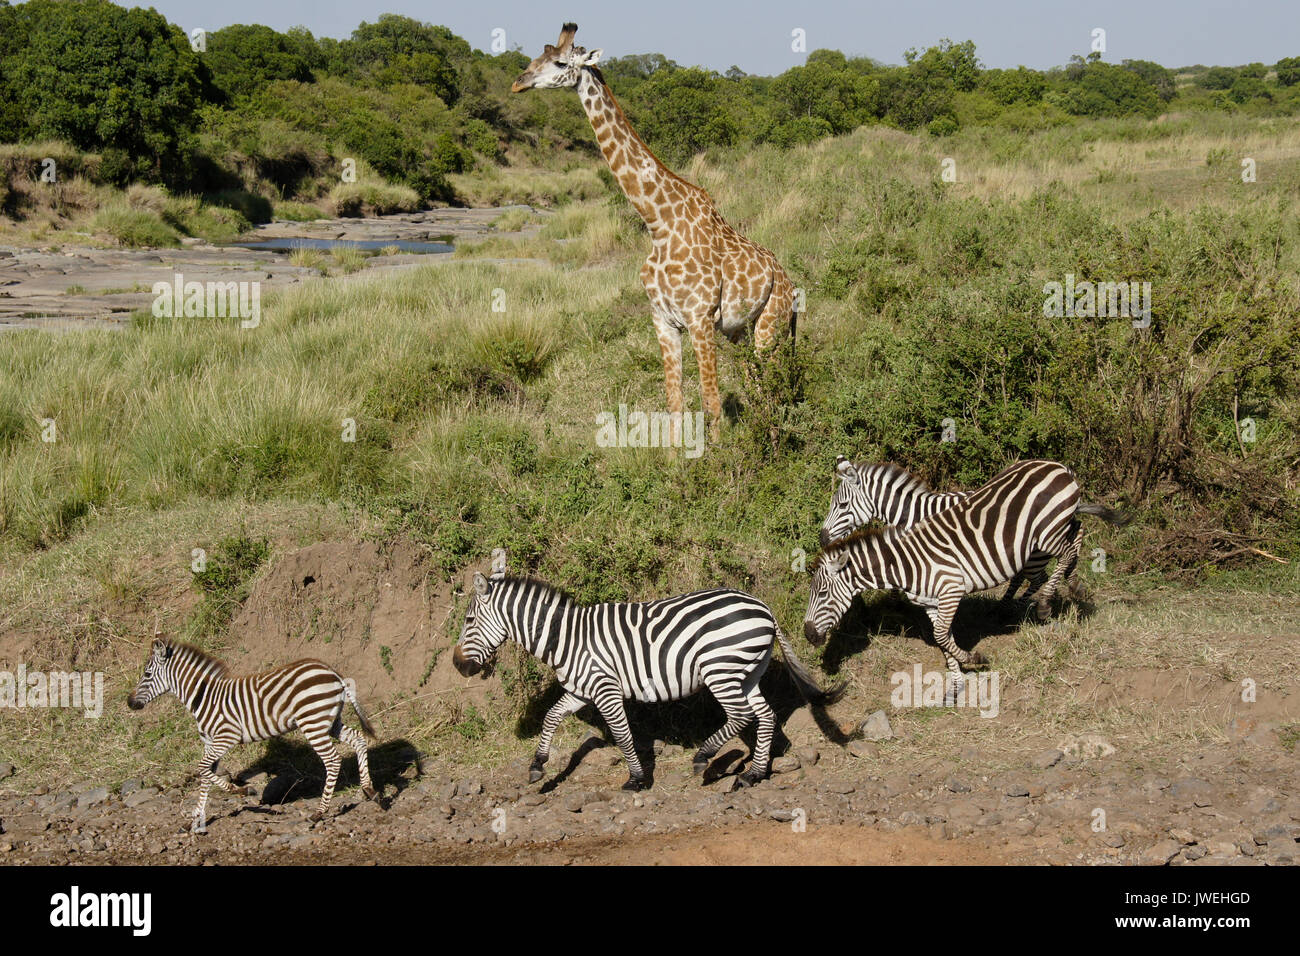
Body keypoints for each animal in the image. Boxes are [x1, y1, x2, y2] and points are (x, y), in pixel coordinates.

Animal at [127, 637, 378, 833]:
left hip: (313, 723)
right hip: (329, 721)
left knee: (333, 760)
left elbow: (202, 769)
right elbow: (206, 777)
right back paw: (369, 790)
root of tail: (332, 671)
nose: (129, 703)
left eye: (147, 674)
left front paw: (244, 790)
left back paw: (319, 812)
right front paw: (195, 821)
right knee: (358, 739)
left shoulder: (226, 737)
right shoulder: (210, 743)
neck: (203, 697)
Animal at [453, 566, 841, 791]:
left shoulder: (605, 689)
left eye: (469, 621)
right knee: (765, 716)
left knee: (742, 715)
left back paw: (704, 757)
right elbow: (551, 717)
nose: (457, 666)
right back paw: (754, 774)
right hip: (746, 672)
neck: (567, 639)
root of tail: (764, 609)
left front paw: (637, 779)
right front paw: (537, 766)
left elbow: (624, 736)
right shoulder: (581, 690)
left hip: (720, 669)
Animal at [511, 23, 799, 443]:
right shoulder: (663, 321)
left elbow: (711, 404)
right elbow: (674, 402)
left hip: (770, 327)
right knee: (758, 385)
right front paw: (677, 460)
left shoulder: (699, 319)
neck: (657, 223)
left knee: (774, 387)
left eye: (561, 63)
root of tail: (791, 284)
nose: (518, 83)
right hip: (741, 331)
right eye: (537, 56)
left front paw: (719, 462)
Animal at [820, 456, 1082, 618]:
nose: (822, 539)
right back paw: (1069, 587)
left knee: (1058, 557)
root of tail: (1061, 467)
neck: (915, 514)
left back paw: (1041, 602)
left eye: (842, 505)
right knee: (1069, 541)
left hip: (1045, 534)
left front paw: (896, 607)